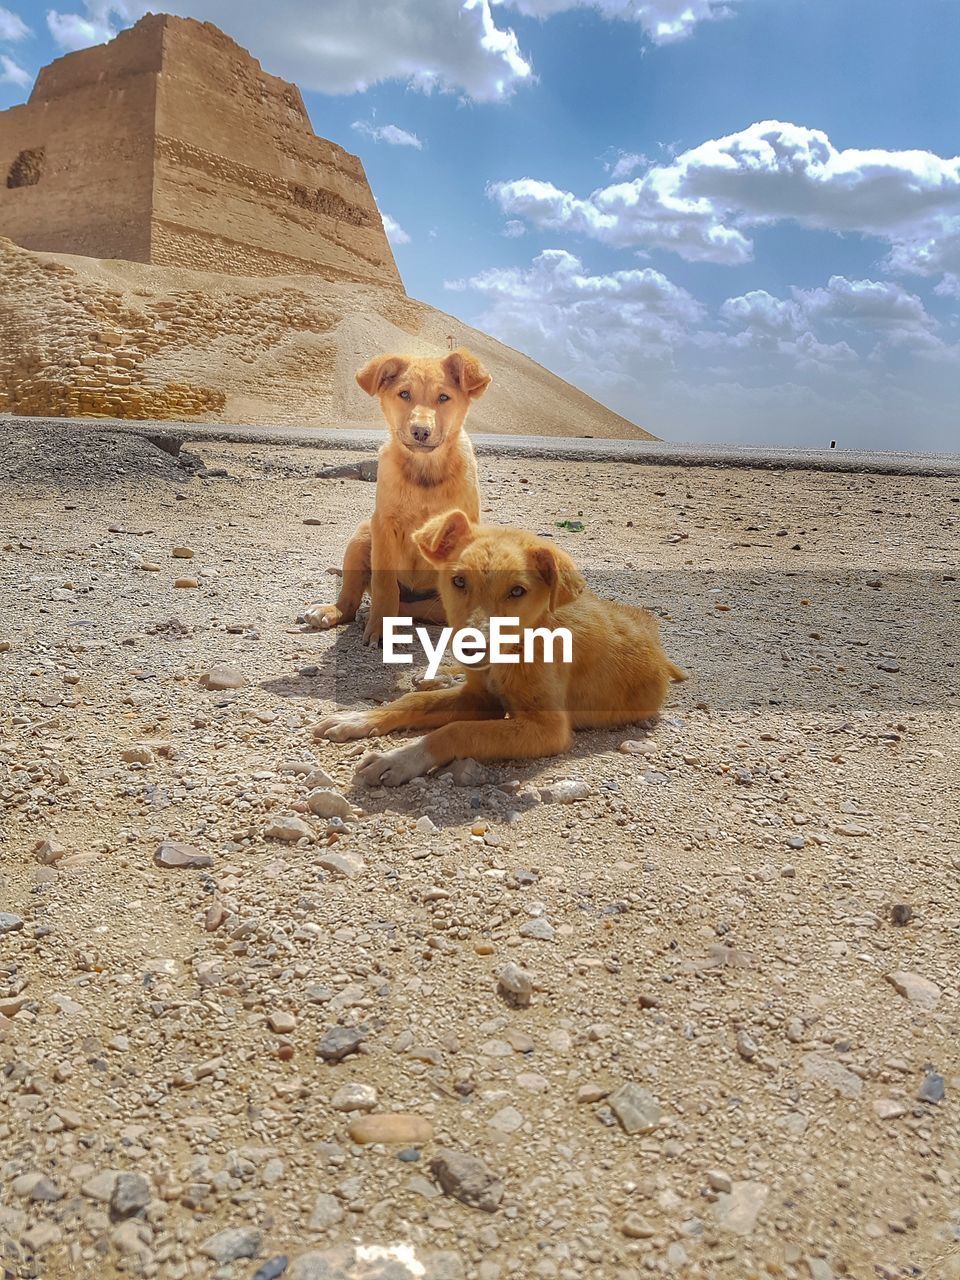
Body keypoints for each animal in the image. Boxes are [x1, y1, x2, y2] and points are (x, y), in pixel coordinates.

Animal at [305, 348, 491, 645]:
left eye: (443, 397)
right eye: (404, 394)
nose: (420, 431)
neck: (424, 474)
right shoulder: (383, 525)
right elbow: (384, 586)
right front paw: (380, 627)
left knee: (426, 608)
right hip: (361, 536)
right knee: (352, 600)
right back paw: (334, 611)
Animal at [313, 509, 686, 778]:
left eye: (517, 591)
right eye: (458, 581)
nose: (471, 648)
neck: (518, 648)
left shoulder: (547, 729)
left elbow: (456, 732)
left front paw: (401, 759)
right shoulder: (479, 697)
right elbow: (413, 702)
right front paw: (358, 718)